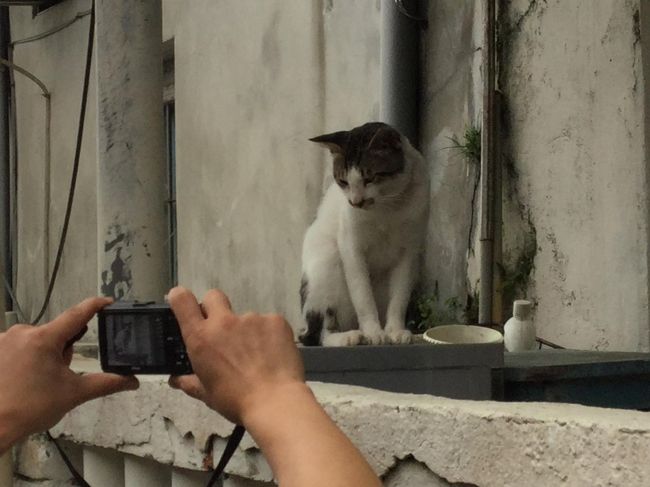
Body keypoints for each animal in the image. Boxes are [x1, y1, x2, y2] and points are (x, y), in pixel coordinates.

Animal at [296, 124, 428, 348]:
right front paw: (373, 332)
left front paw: (395, 331)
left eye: (370, 178)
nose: (355, 202)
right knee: (320, 333)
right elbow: (363, 296)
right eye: (343, 181)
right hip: (327, 266)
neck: (388, 208)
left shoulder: (409, 251)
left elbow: (399, 297)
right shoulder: (351, 247)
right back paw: (349, 336)